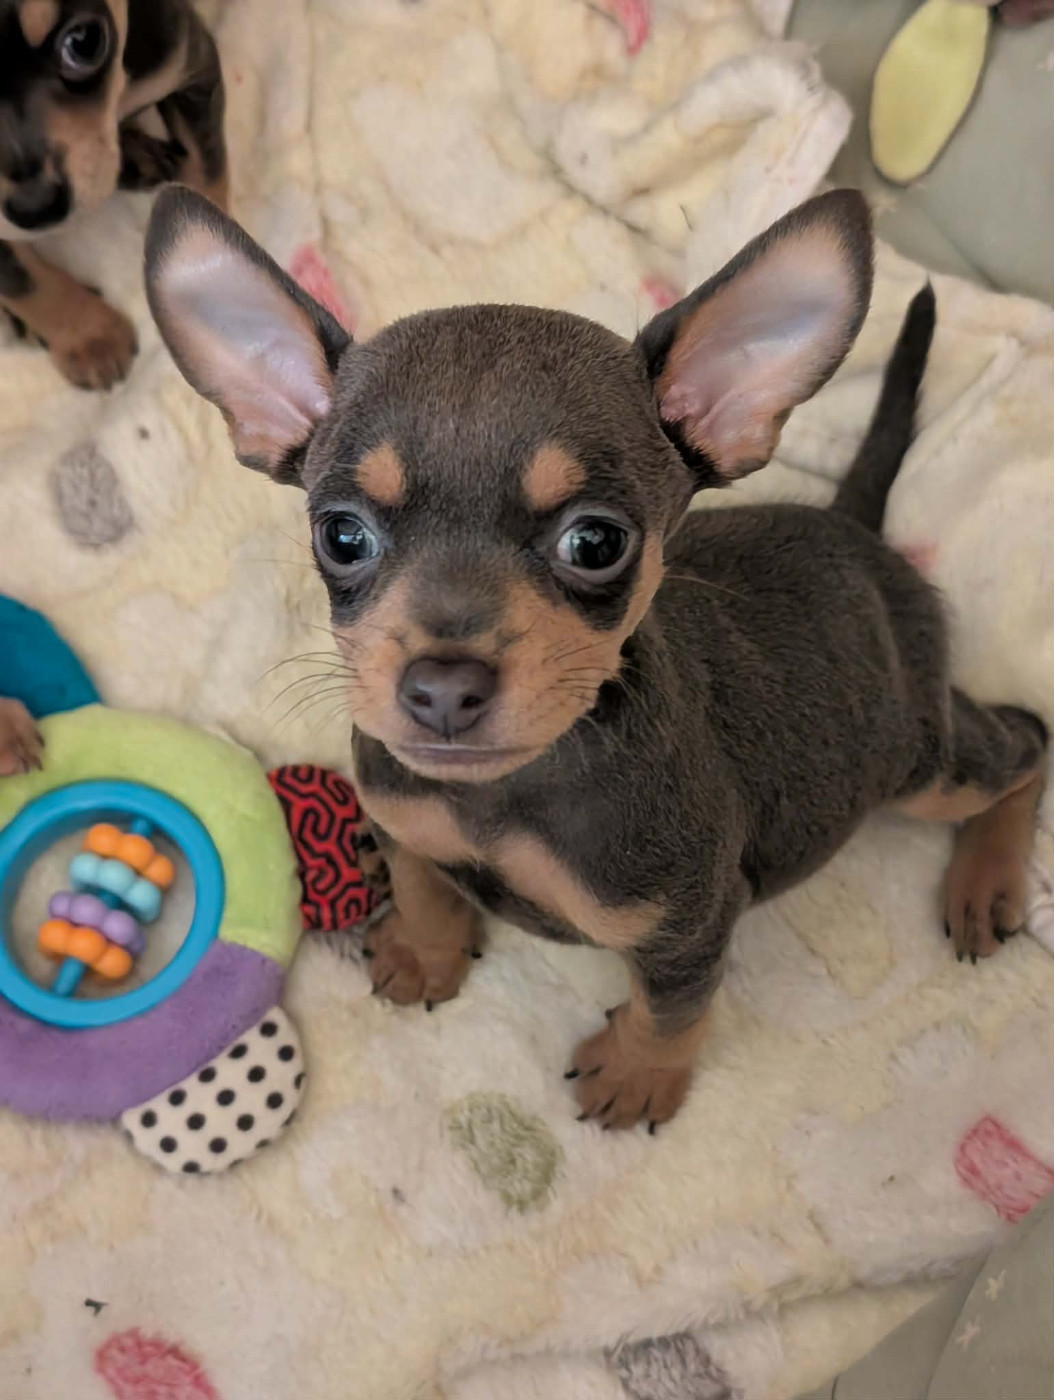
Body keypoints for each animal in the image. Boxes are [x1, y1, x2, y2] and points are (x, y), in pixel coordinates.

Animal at [0, 0, 227, 389]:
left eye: (83, 41)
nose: (35, 207)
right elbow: (26, 283)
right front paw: (91, 340)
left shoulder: (189, 67)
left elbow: (207, 171)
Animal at [141, 185, 1048, 1131]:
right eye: (342, 535)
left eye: (596, 542)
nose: (441, 689)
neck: (502, 797)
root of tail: (857, 527)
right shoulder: (404, 822)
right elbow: (425, 886)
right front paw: (429, 953)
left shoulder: (689, 928)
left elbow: (669, 1013)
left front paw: (640, 1074)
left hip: (919, 762)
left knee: (1025, 743)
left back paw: (984, 882)